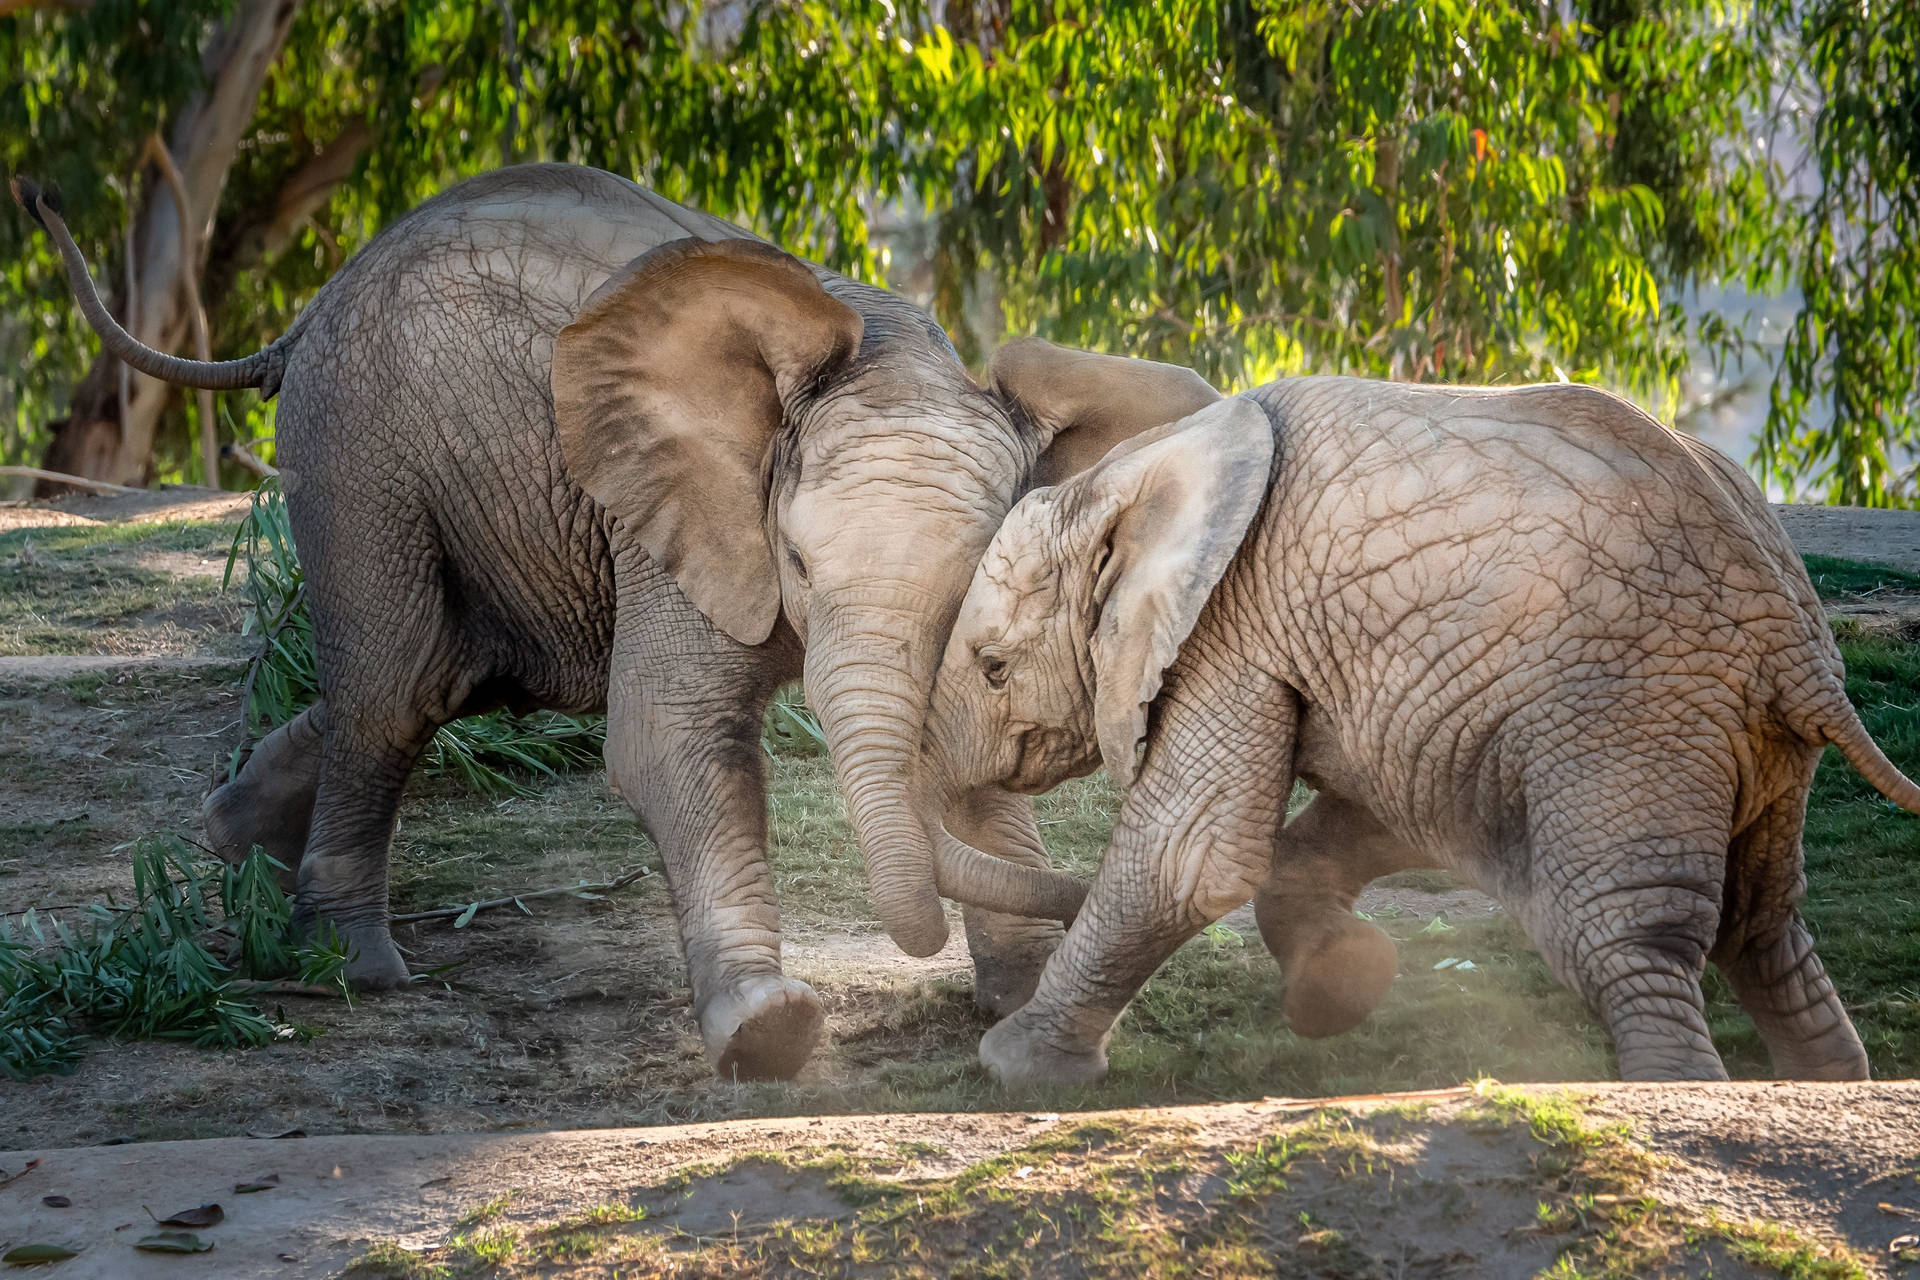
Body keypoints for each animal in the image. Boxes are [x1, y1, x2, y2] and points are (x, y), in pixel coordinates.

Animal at [12, 165, 1119, 1080]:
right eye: (799, 564)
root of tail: (307, 313)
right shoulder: (673, 509)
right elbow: (671, 736)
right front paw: (769, 1035)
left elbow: (977, 746)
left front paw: (1021, 1002)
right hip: (359, 453)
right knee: (397, 691)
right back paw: (350, 965)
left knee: (440, 677)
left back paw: (236, 841)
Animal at [919, 340, 1920, 1085]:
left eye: (994, 667)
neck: (1145, 472)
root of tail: (1800, 646)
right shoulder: (1408, 682)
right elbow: (1390, 805)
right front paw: (1345, 991)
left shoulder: (1230, 625)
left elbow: (1193, 854)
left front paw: (1012, 1067)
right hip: (1739, 734)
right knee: (1763, 924)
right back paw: (1826, 1086)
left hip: (1631, 714)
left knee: (1628, 934)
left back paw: (1680, 1099)